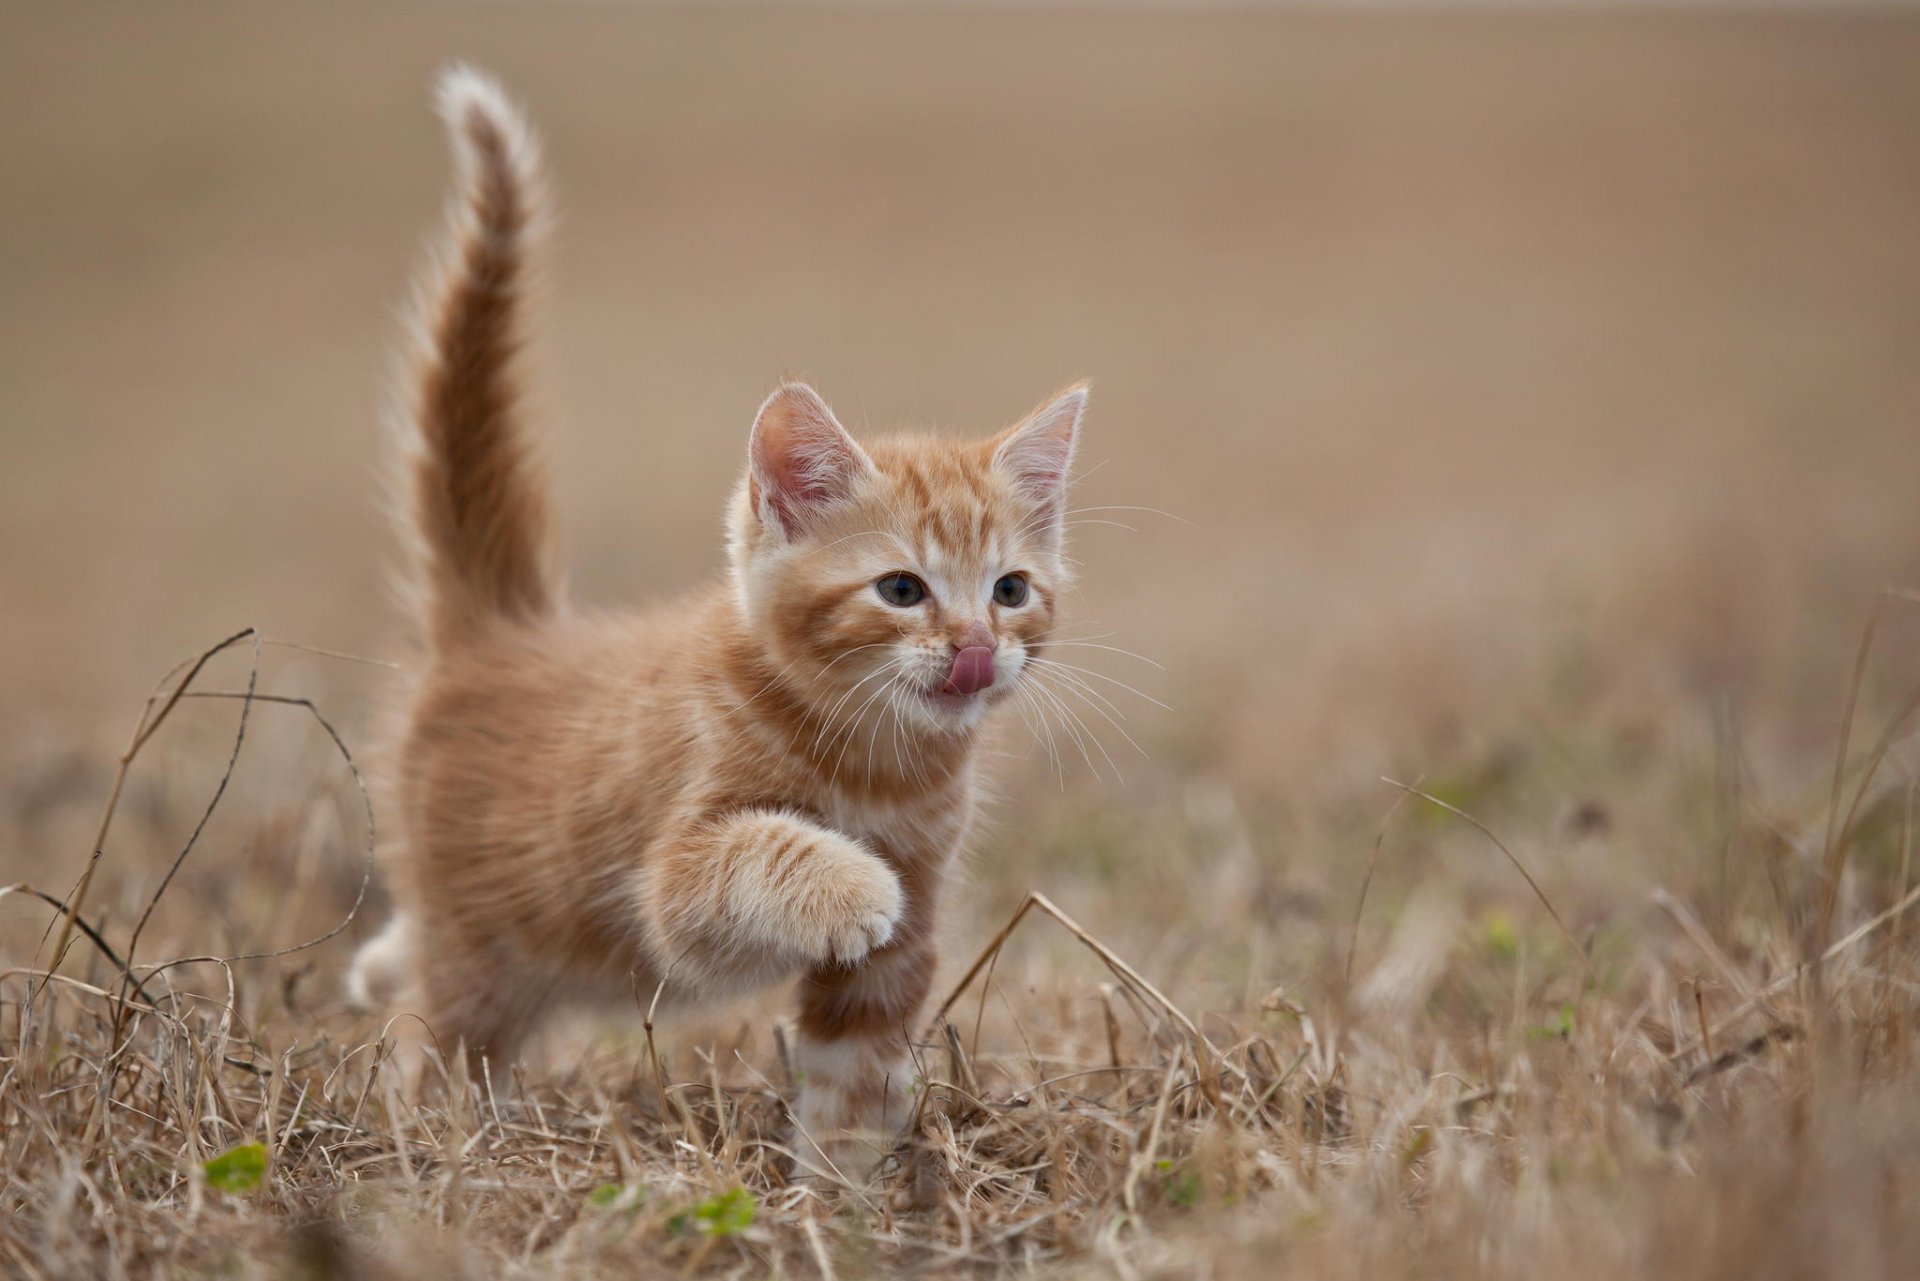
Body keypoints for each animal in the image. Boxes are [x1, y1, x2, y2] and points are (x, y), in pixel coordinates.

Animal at [351, 65, 1090, 1175]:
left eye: (1009, 591)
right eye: (902, 590)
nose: (972, 648)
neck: (875, 760)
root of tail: (504, 630)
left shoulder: (905, 938)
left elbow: (857, 1063)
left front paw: (845, 1186)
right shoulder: (677, 882)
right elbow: (759, 853)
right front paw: (852, 886)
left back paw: (372, 964)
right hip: (481, 950)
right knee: (439, 1040)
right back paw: (433, 1142)